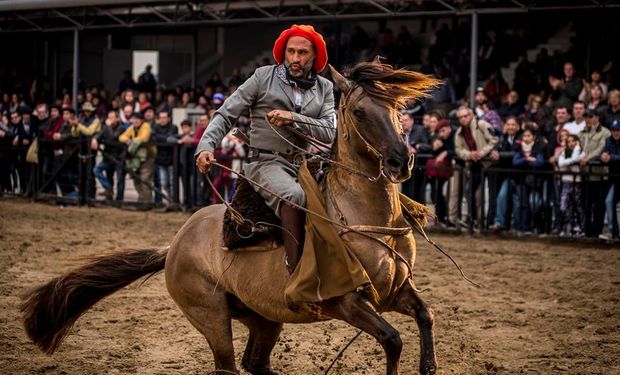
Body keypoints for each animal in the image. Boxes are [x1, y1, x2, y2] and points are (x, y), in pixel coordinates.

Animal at [20, 62, 440, 375]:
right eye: (358, 112)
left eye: (398, 109)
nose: (402, 161)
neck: (363, 217)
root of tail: (174, 245)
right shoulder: (347, 302)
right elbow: (392, 339)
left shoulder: (396, 292)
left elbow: (426, 315)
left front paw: (429, 365)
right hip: (212, 317)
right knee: (229, 366)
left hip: (264, 318)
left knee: (255, 364)